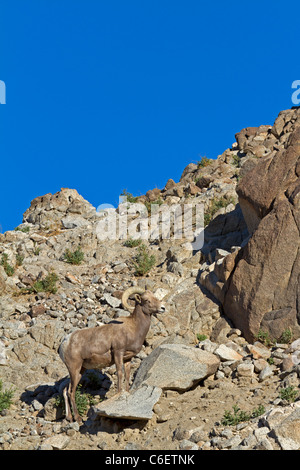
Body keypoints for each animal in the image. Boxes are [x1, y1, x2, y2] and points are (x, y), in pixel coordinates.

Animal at [58, 286, 165, 422]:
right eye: (147, 300)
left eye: (155, 297)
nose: (163, 308)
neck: (133, 328)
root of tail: (65, 342)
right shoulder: (118, 353)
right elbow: (120, 374)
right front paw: (118, 394)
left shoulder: (128, 359)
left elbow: (127, 376)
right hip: (74, 368)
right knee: (71, 392)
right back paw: (78, 418)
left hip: (79, 370)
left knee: (65, 390)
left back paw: (69, 417)